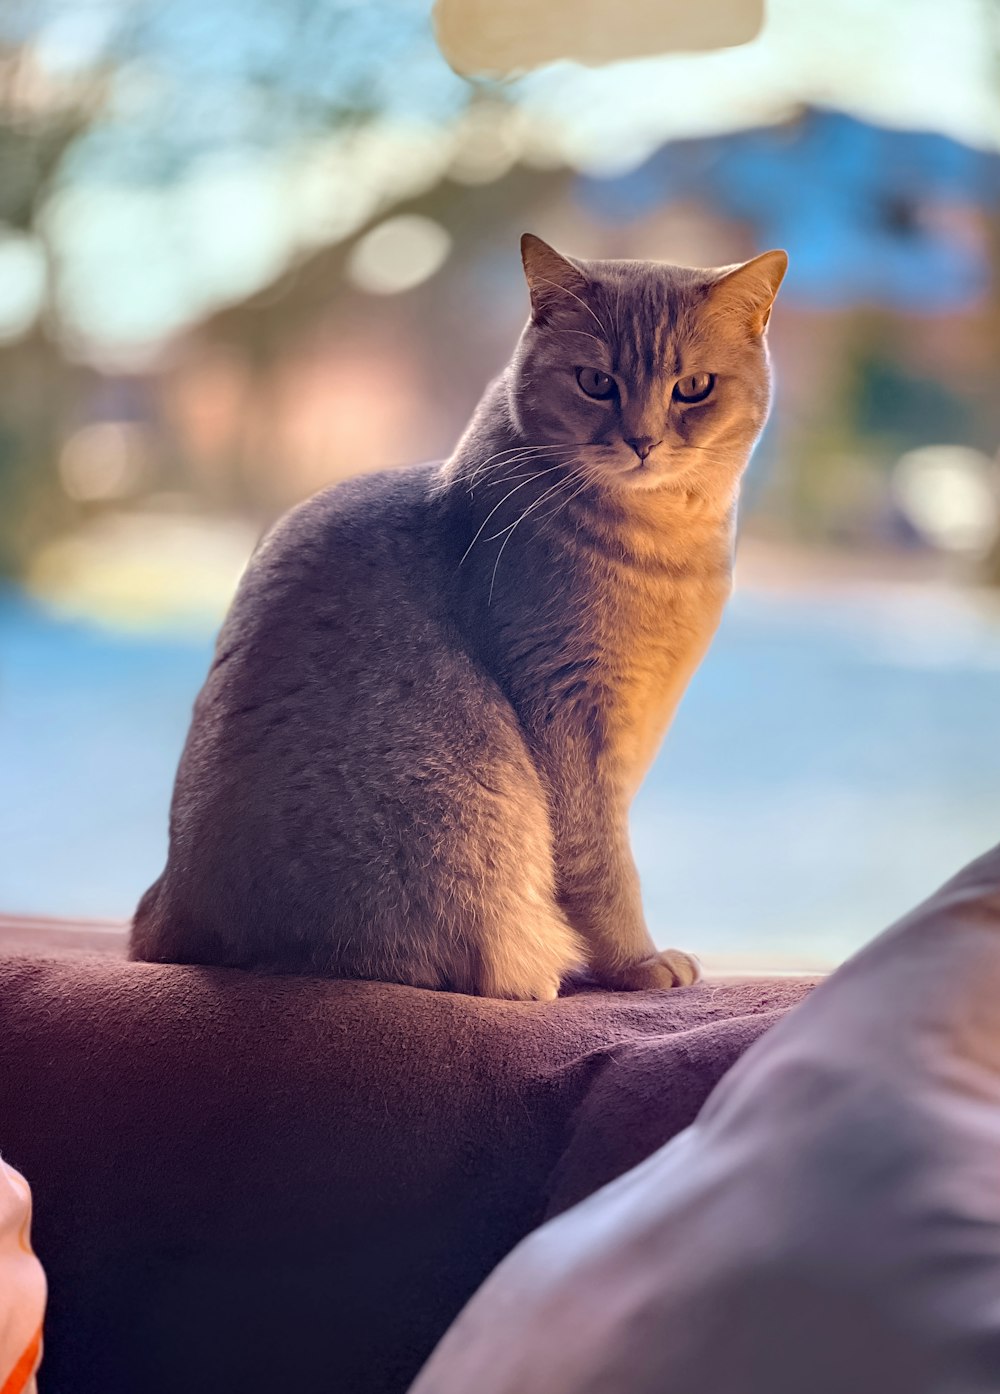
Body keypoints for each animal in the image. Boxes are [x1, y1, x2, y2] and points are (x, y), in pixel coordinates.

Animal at [130, 236, 786, 1003]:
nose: (643, 440)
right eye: (596, 381)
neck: (666, 549)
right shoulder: (573, 720)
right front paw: (638, 964)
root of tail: (171, 919)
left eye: (694, 388)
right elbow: (603, 864)